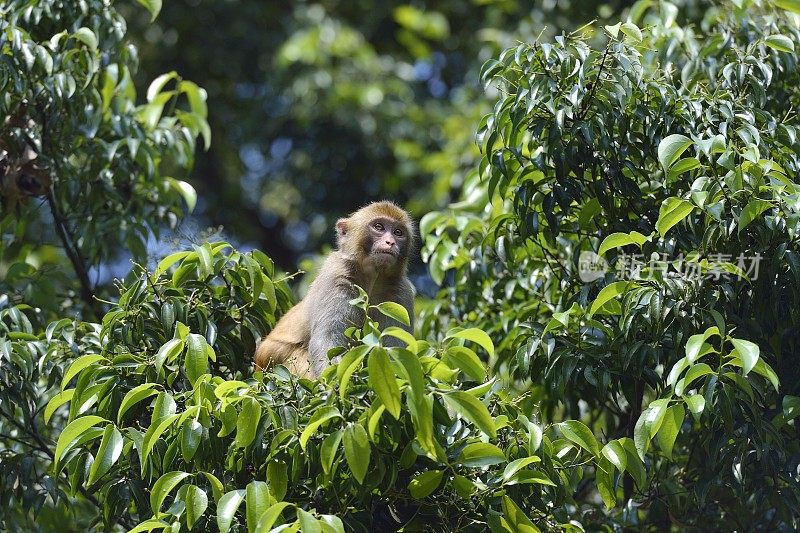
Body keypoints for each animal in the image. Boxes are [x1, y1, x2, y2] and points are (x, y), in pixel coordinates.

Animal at [255, 200, 418, 378]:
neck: (372, 279)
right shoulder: (335, 277)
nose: (391, 242)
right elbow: (327, 338)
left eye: (398, 232)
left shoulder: (401, 293)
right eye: (379, 226)